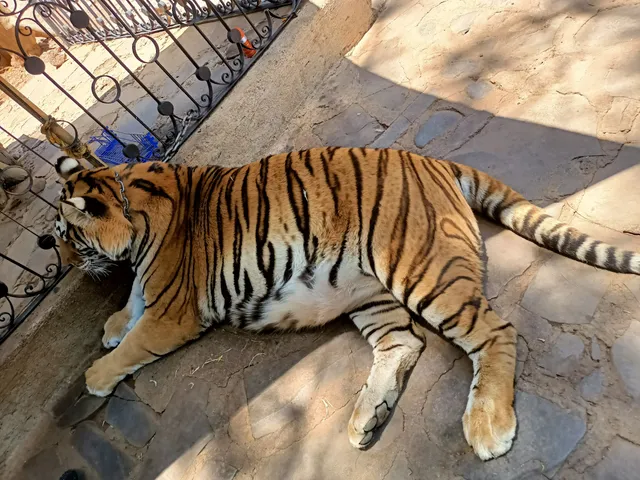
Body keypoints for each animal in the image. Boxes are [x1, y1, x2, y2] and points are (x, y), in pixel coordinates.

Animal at [53, 148, 640, 461]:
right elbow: (130, 303)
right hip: (366, 291)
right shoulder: (148, 290)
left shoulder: (173, 313)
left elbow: (132, 344)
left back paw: (487, 426)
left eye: (66, 236)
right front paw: (111, 322)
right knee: (403, 345)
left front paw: (96, 373)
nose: (51, 252)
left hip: (423, 271)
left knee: (496, 331)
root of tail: (430, 158)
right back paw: (366, 420)